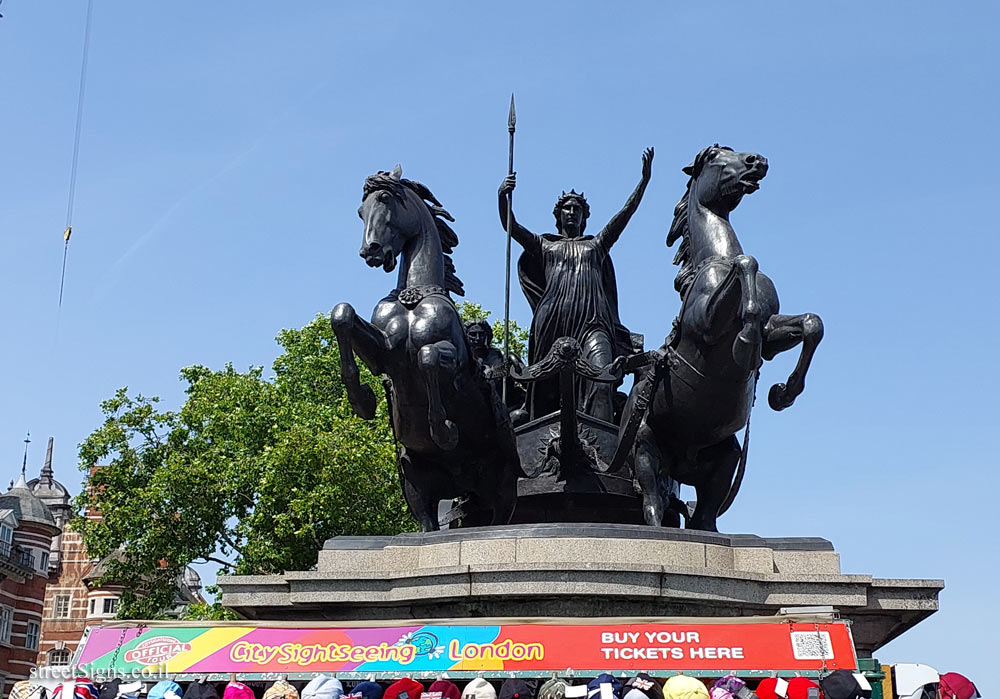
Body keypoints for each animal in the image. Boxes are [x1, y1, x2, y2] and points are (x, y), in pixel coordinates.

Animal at [330, 167, 520, 532]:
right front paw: (362, 399)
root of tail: (463, 485)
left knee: (499, 516)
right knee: (428, 523)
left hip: (503, 484)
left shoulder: (454, 361)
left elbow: (427, 358)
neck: (414, 298)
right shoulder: (384, 353)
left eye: (385, 199)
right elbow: (342, 314)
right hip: (415, 485)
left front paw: (444, 432)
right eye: (361, 212)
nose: (370, 251)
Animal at [628, 146, 824, 532]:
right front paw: (745, 344)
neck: (717, 258)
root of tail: (682, 462)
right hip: (645, 446)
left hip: (727, 456)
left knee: (704, 516)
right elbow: (747, 262)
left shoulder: (773, 334)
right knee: (653, 504)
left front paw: (783, 393)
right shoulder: (706, 323)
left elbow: (812, 324)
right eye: (715, 156)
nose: (757, 160)